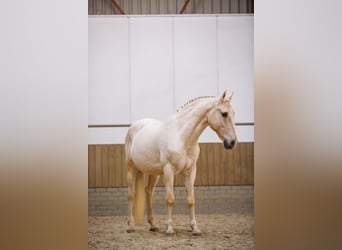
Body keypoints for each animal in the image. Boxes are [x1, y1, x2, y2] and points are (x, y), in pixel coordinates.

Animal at [125, 91, 238, 235]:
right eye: (224, 113)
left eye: (233, 113)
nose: (232, 142)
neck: (181, 137)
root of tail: (135, 126)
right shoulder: (169, 170)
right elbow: (170, 199)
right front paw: (169, 229)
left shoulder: (191, 171)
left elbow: (191, 200)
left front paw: (195, 228)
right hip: (131, 169)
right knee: (131, 194)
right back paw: (130, 226)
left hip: (153, 174)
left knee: (148, 193)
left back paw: (153, 225)